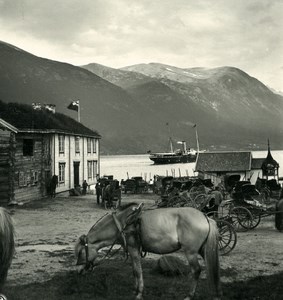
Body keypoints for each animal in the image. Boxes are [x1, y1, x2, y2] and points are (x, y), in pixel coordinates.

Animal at [75, 203, 222, 298]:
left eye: (80, 252)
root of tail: (205, 217)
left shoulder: (134, 250)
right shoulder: (132, 251)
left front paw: (139, 293)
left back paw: (190, 295)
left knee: (196, 270)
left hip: (190, 252)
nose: (79, 271)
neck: (122, 224)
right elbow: (134, 271)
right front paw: (135, 290)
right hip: (203, 249)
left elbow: (137, 271)